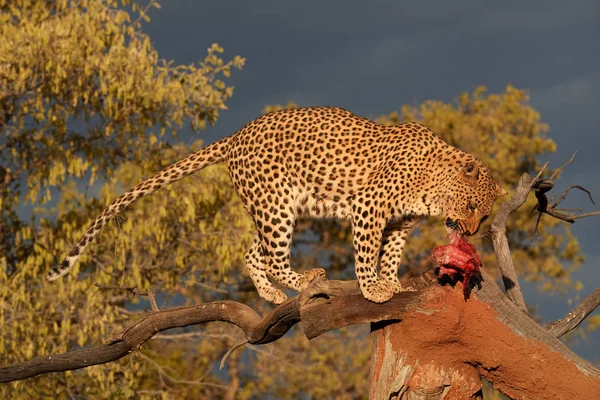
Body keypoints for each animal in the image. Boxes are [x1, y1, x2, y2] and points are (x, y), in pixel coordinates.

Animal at [45, 106, 506, 304]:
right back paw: (302, 281)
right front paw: (371, 286)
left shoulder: (399, 221)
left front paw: (390, 281)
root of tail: (235, 135)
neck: (432, 185)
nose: (472, 231)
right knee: (272, 257)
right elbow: (366, 253)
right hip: (276, 207)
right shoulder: (369, 207)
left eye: (484, 213)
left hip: (272, 208)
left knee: (254, 254)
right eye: (473, 207)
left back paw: (270, 293)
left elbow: (390, 253)